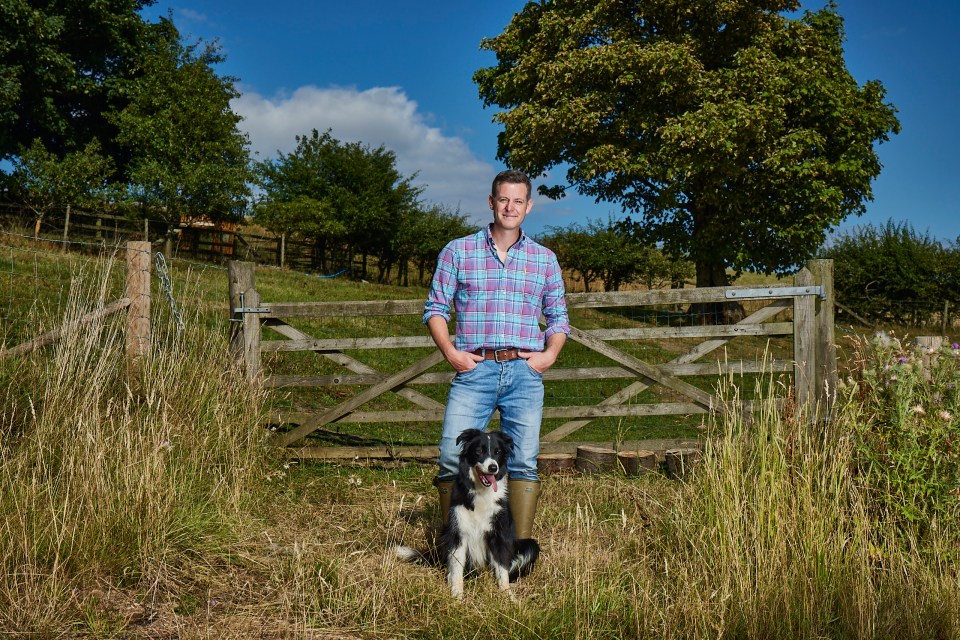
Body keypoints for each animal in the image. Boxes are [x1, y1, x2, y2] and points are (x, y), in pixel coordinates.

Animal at [392, 430, 540, 600]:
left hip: (530, 545)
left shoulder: (499, 534)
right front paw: (457, 595)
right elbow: (456, 568)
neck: (482, 491)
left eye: (498, 452)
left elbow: (502, 569)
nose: (493, 467)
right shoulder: (458, 532)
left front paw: (507, 595)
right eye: (479, 451)